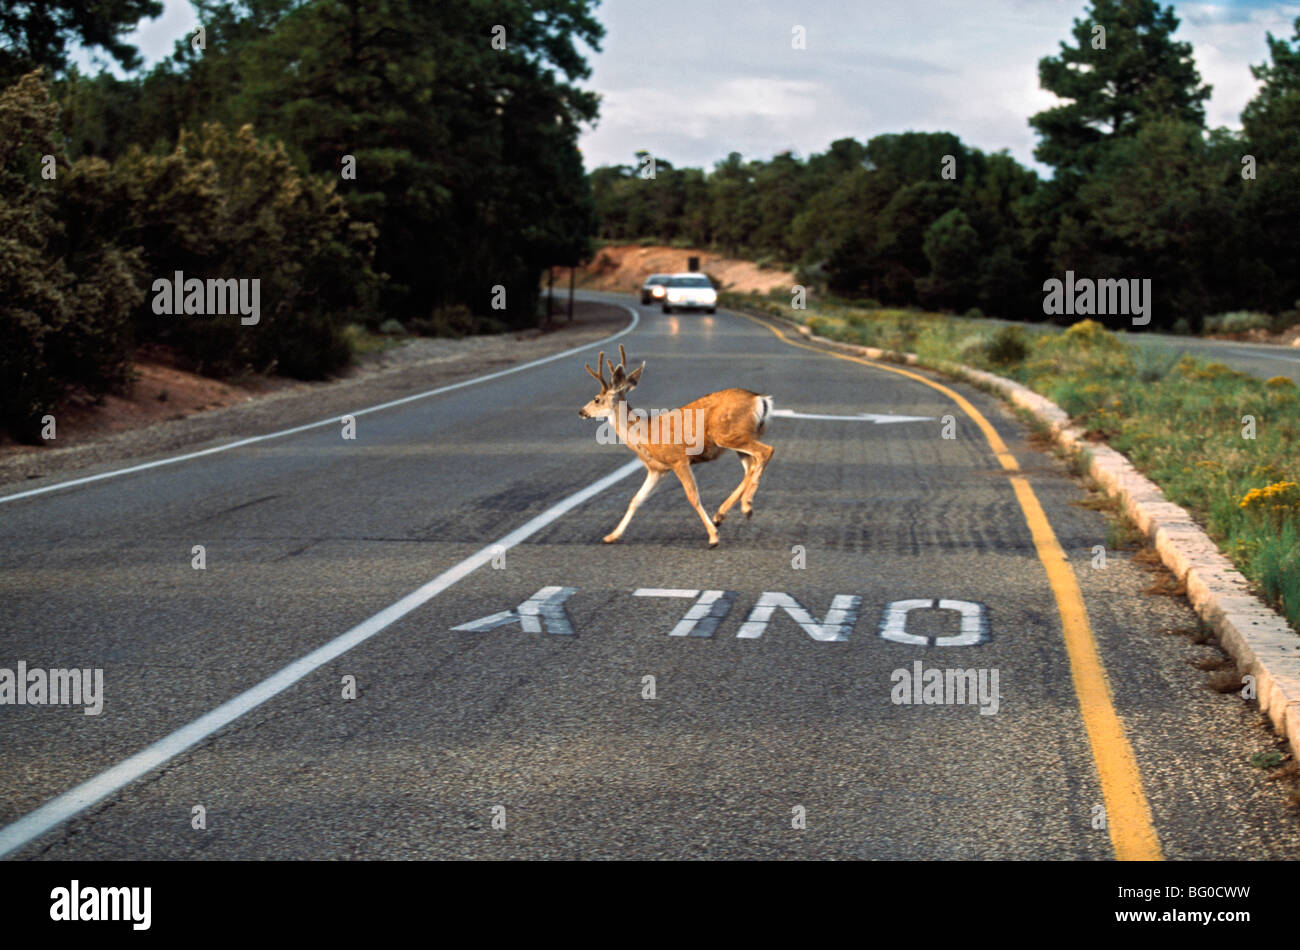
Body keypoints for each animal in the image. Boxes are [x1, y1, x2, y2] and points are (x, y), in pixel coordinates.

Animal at [578, 344, 775, 547]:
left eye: (596, 399)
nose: (581, 411)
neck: (645, 434)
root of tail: (760, 399)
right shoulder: (657, 469)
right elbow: (636, 500)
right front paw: (612, 536)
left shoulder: (678, 459)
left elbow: (693, 496)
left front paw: (713, 537)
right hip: (738, 439)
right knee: (751, 466)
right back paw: (724, 513)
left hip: (728, 435)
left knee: (766, 451)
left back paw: (745, 506)